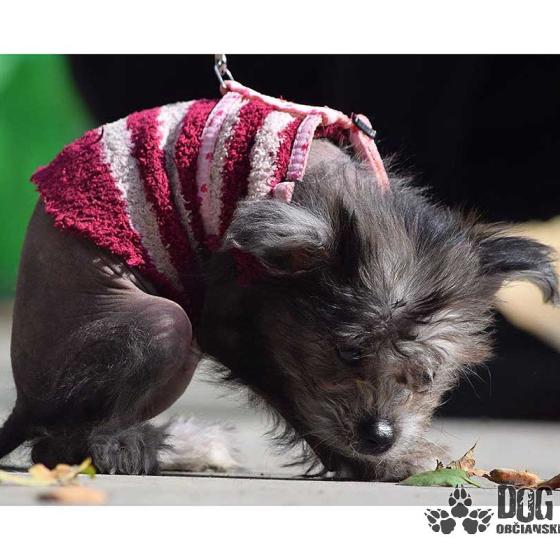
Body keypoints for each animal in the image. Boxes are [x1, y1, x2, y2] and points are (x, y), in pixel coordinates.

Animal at [1, 84, 558, 481]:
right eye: (349, 352)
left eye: (426, 374)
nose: (380, 436)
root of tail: (23, 403)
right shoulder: (226, 324)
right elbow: (302, 404)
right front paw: (371, 466)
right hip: (162, 325)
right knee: (62, 442)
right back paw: (134, 448)